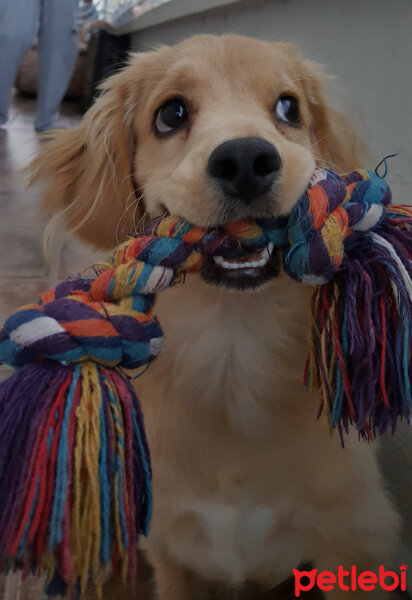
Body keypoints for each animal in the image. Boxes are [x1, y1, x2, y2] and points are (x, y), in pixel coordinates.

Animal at [28, 34, 400, 600]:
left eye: (288, 108)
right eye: (171, 114)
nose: (246, 159)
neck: (232, 351)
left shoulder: (354, 543)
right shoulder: (174, 555)